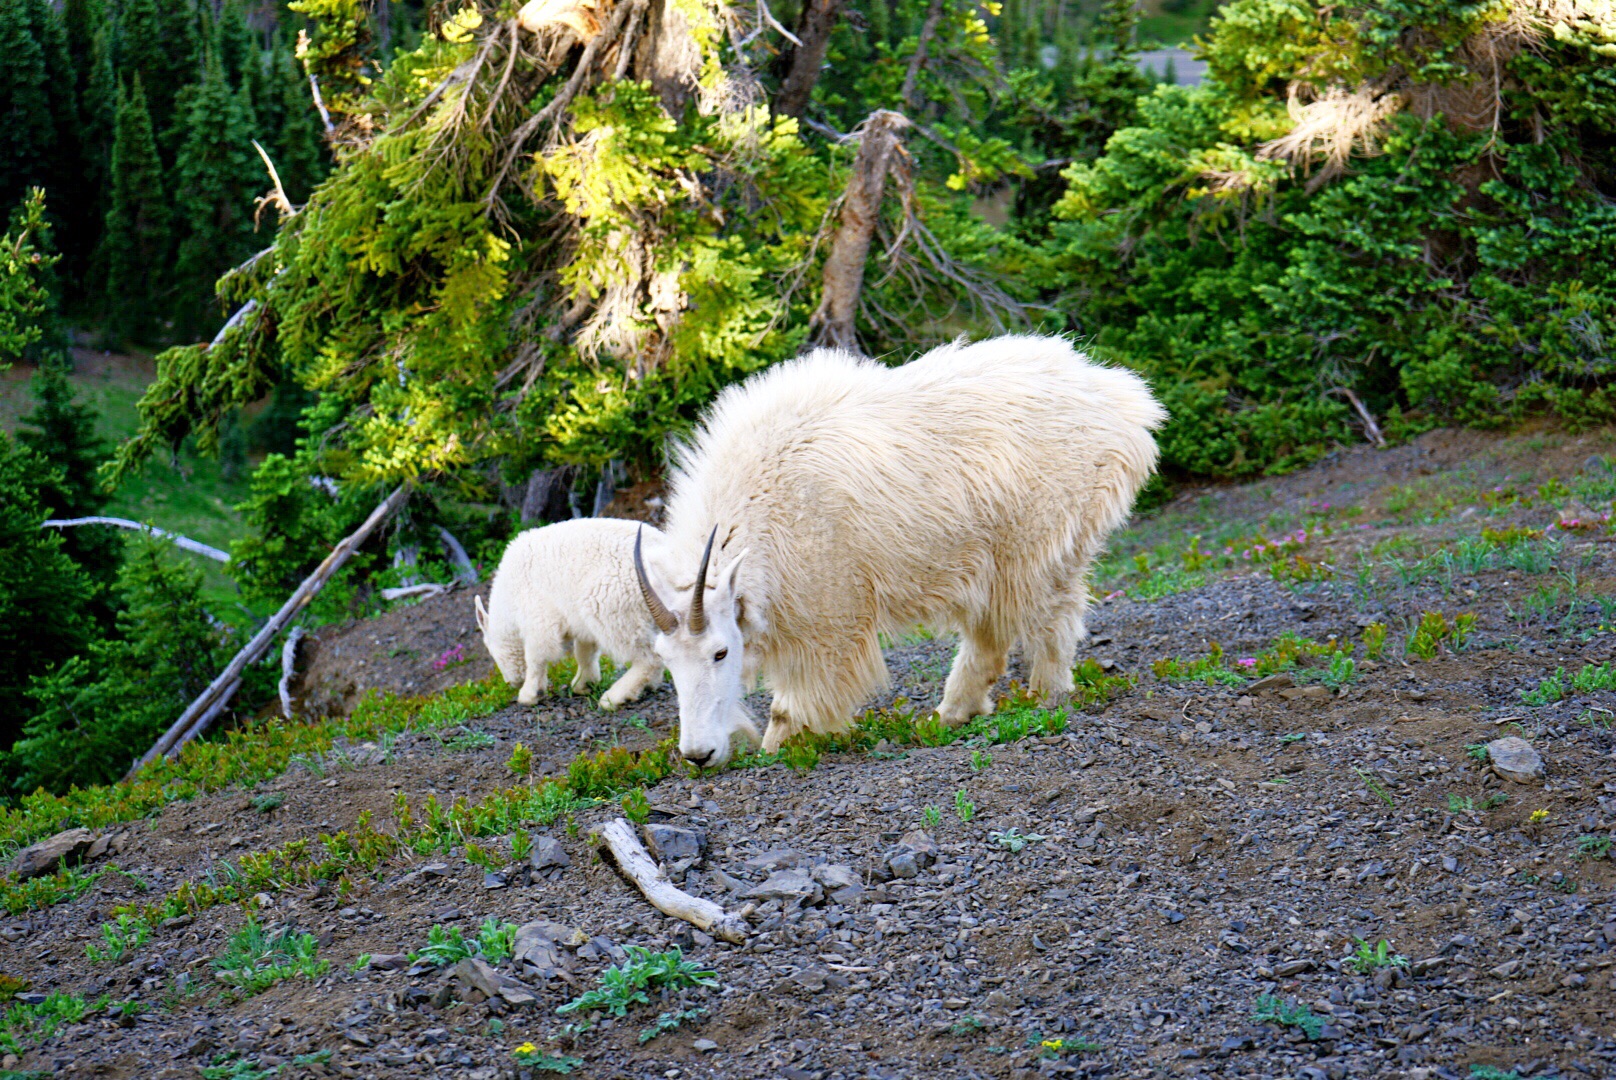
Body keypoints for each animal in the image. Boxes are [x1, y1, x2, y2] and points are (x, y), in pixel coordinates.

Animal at [471, 520, 662, 711]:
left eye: (491, 650)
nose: (511, 682)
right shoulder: (579, 623)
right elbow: (585, 652)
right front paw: (584, 685)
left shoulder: (538, 615)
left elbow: (536, 655)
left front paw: (529, 694)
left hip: (611, 605)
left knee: (649, 656)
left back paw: (614, 697)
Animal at [630, 333, 1163, 763]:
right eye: (667, 660)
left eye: (721, 653)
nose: (698, 754)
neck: (761, 502)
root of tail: (1127, 404)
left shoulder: (828, 616)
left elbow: (791, 706)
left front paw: (779, 748)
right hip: (991, 557)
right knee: (993, 633)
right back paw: (950, 714)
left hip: (1037, 542)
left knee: (1052, 615)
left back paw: (1044, 697)